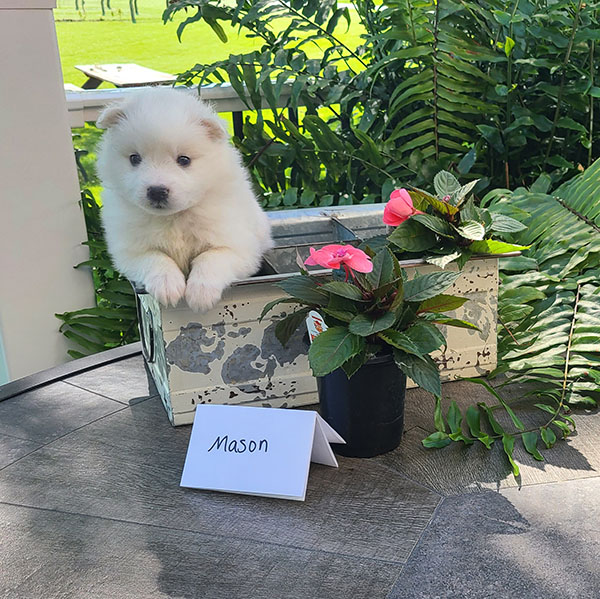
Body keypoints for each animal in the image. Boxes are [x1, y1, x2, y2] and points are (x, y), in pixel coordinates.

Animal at [95, 89, 272, 314]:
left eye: (184, 160)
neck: (174, 218)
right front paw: (167, 286)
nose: (157, 191)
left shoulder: (239, 248)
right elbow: (155, 258)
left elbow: (211, 257)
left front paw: (201, 293)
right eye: (135, 158)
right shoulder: (130, 251)